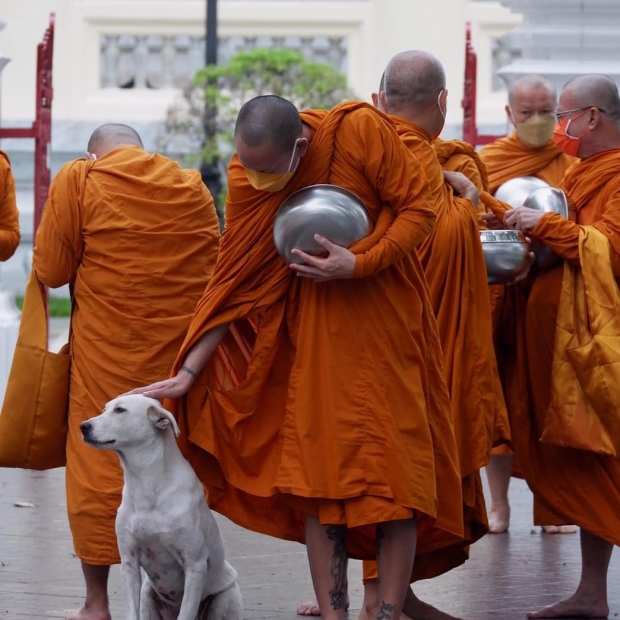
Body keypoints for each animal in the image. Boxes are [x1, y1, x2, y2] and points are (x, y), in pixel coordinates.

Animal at [78, 394, 242, 620]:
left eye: (120, 410)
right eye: (104, 409)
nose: (83, 426)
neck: (146, 484)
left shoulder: (195, 564)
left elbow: (186, 613)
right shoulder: (129, 561)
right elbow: (131, 612)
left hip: (226, 598)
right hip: (148, 596)